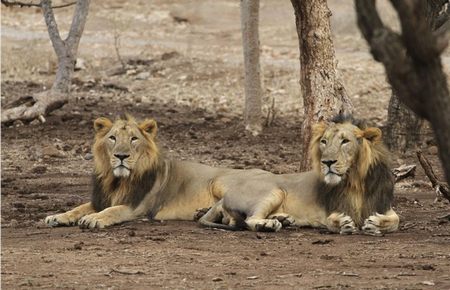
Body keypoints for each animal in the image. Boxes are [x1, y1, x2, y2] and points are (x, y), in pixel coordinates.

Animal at [44, 114, 268, 229]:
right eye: (112, 138)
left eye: (134, 138)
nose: (121, 156)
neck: (117, 180)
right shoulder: (100, 199)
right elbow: (79, 208)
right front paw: (58, 216)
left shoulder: (137, 207)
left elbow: (113, 211)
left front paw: (94, 219)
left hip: (220, 183)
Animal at [199, 114, 400, 236]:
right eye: (324, 142)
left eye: (345, 141)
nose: (327, 162)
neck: (355, 181)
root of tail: (225, 196)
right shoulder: (327, 211)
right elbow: (331, 220)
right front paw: (343, 224)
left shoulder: (383, 205)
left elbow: (395, 220)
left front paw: (376, 223)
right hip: (274, 191)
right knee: (249, 220)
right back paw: (268, 224)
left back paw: (282, 219)